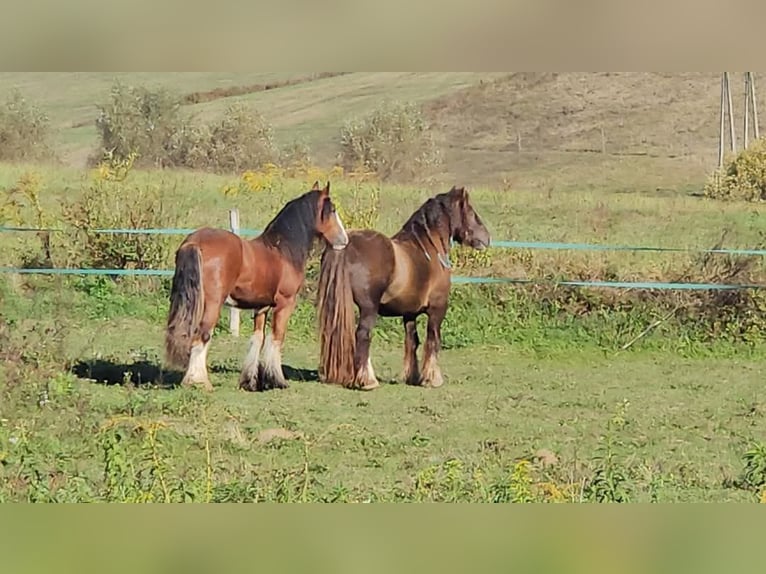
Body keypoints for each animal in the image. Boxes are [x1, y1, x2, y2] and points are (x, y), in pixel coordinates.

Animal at [168, 182, 352, 394]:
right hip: (211, 305)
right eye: (333, 210)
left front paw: (251, 382)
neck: (282, 251)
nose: (344, 240)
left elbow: (258, 338)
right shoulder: (285, 304)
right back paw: (200, 382)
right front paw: (277, 380)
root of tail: (195, 242)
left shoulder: (261, 307)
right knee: (202, 335)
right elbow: (277, 338)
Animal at [318, 187, 492, 394]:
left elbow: (412, 341)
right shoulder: (437, 309)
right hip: (369, 308)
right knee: (363, 335)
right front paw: (432, 379)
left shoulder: (409, 313)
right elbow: (433, 340)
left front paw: (413, 376)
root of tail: (345, 243)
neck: (429, 249)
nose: (486, 238)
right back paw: (368, 381)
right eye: (471, 212)